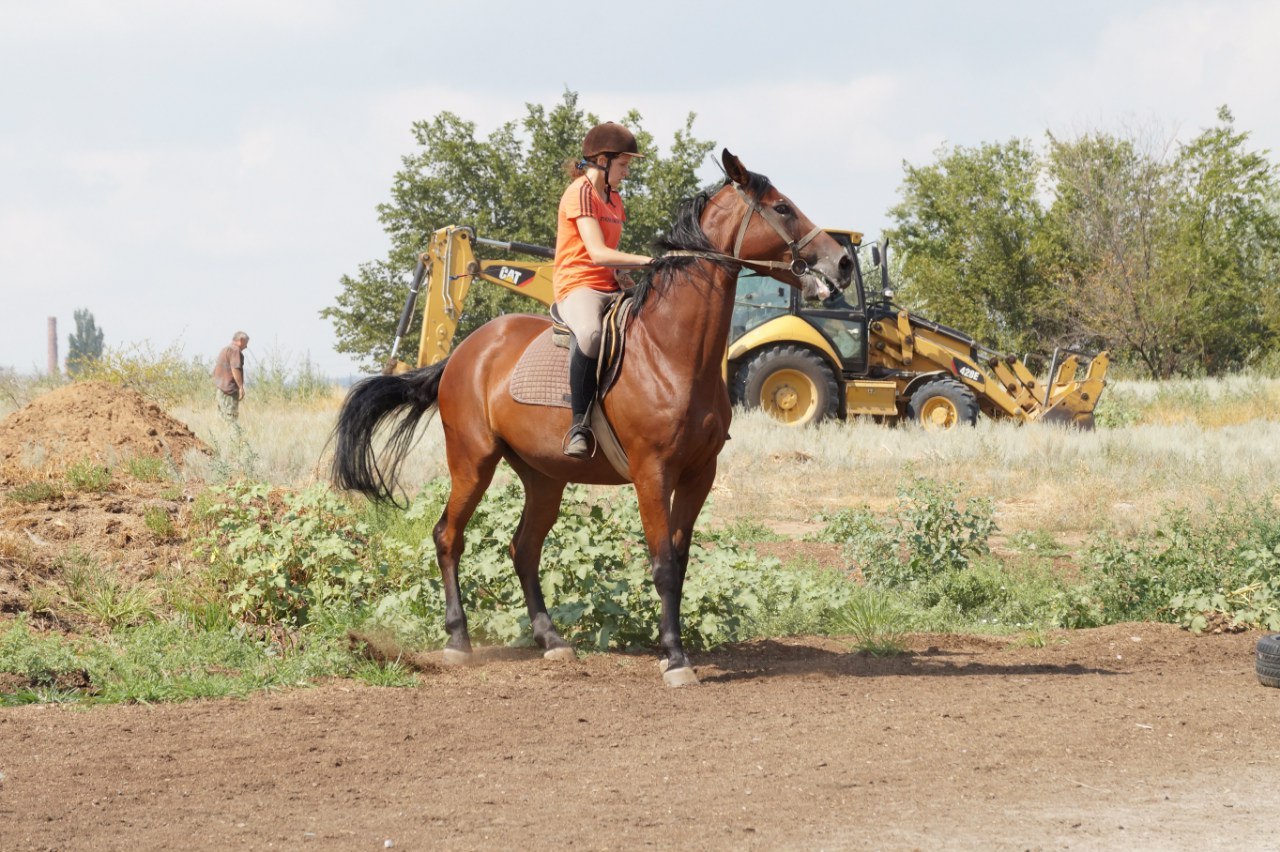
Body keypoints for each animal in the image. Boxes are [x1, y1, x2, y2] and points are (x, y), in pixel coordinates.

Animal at [330, 149, 849, 685]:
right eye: (782, 207)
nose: (844, 262)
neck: (671, 351)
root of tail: (463, 352)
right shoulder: (652, 472)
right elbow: (663, 564)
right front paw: (675, 659)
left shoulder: (699, 473)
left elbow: (680, 561)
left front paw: (674, 647)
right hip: (472, 462)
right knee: (448, 536)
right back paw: (458, 640)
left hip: (543, 477)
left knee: (523, 547)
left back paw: (551, 639)